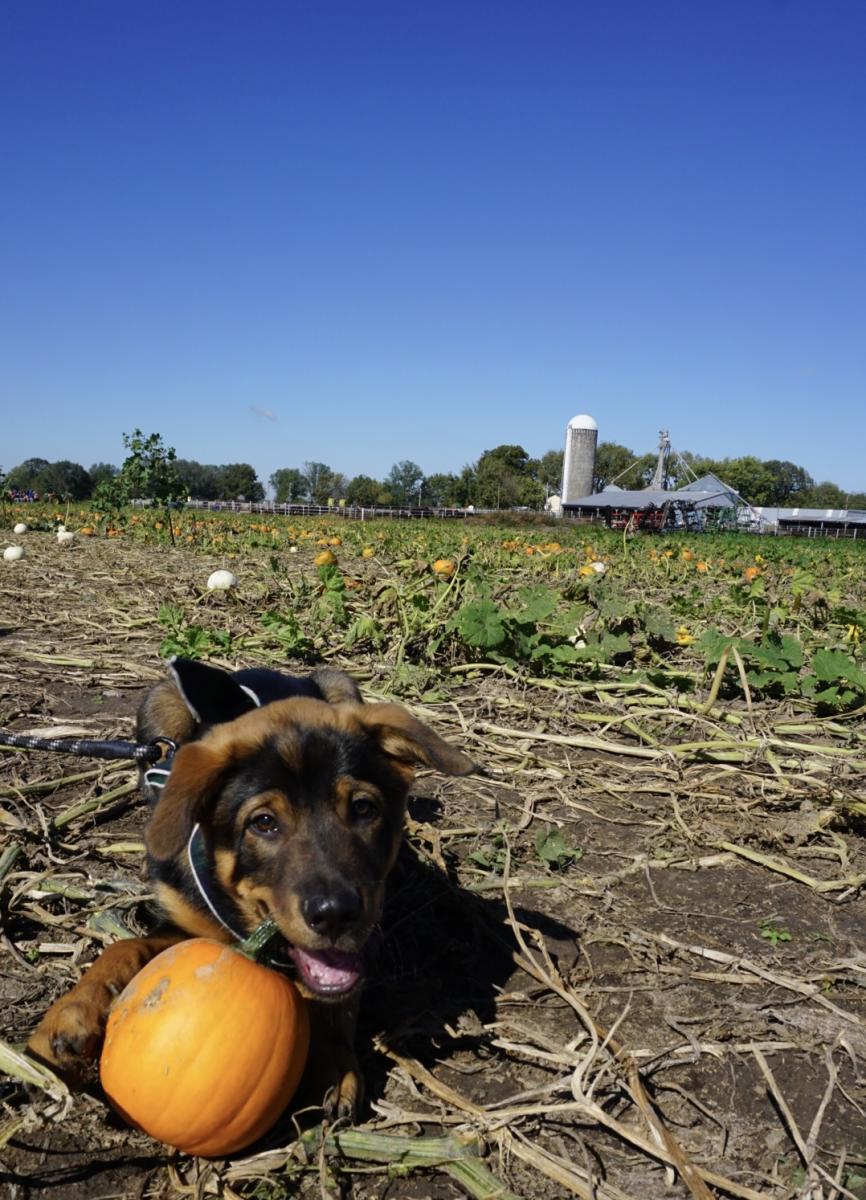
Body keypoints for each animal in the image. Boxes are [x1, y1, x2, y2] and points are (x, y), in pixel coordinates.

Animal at [26, 657, 474, 1113]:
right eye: (263, 822)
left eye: (364, 809)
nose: (335, 915)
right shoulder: (185, 922)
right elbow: (122, 947)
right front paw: (71, 1016)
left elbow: (337, 991)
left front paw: (333, 1058)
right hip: (161, 706)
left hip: (340, 684)